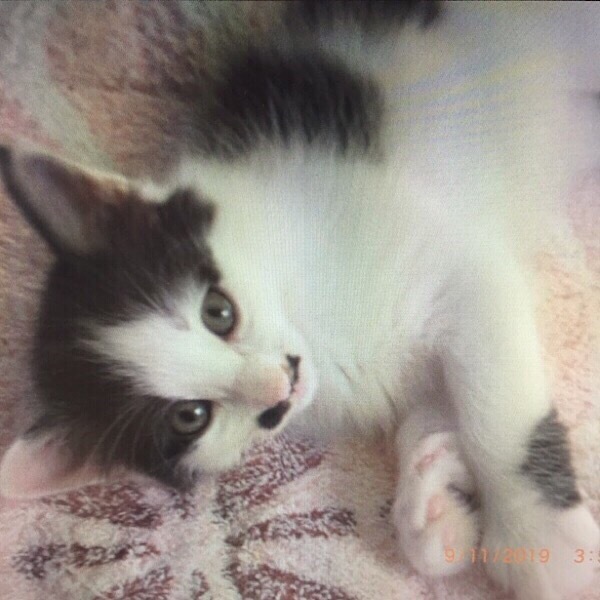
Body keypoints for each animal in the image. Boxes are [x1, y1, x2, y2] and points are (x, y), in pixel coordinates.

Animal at [1, 2, 599, 598]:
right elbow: (434, 409)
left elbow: (496, 414)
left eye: (218, 311)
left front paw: (541, 541)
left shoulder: (459, 264)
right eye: (190, 417)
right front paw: (431, 505)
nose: (280, 384)